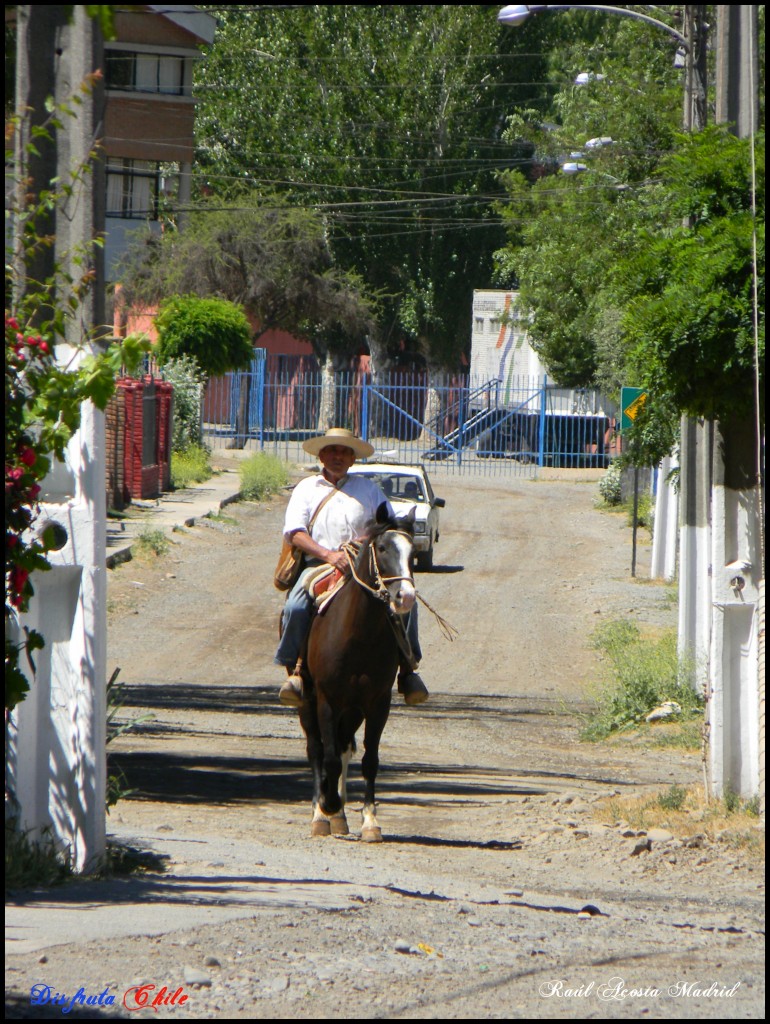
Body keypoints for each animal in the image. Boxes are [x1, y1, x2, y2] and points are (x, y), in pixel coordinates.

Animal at [296, 501, 415, 839]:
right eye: (383, 547)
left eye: (412, 552)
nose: (405, 597)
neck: (358, 634)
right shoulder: (327, 701)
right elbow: (328, 757)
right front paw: (327, 807)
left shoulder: (377, 703)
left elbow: (369, 760)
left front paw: (370, 821)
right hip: (307, 700)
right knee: (316, 749)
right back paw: (320, 810)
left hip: (353, 710)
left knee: (345, 745)